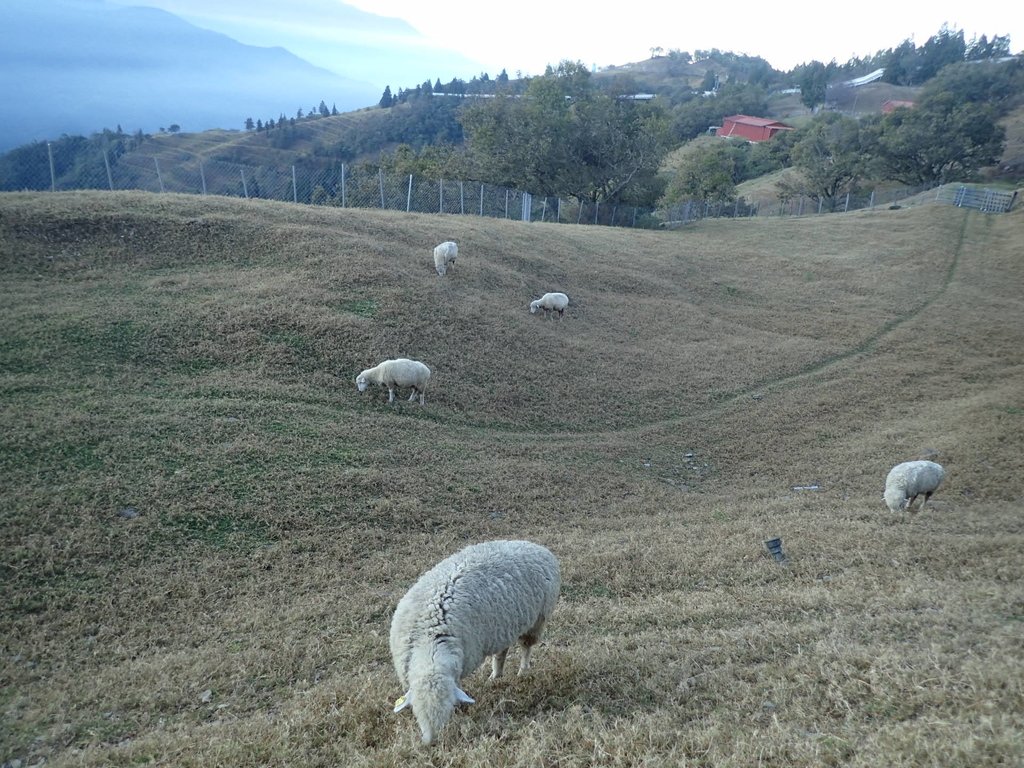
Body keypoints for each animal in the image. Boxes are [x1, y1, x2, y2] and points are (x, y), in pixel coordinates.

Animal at [387, 540, 561, 745]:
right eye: (415, 710)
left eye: (449, 708)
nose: (431, 742)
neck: (429, 639)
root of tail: (534, 545)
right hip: (503, 627)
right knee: (501, 652)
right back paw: (495, 675)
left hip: (537, 620)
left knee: (526, 647)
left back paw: (522, 671)